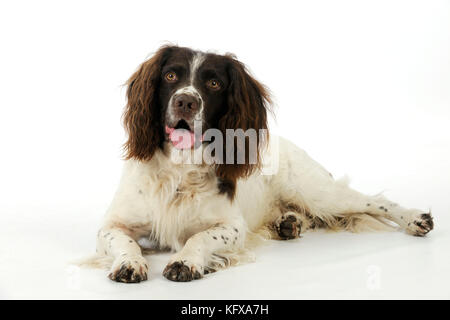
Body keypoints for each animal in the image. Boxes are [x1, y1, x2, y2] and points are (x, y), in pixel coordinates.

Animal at [90, 44, 432, 282]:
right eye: (170, 76)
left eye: (213, 84)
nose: (185, 101)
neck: (180, 169)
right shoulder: (113, 223)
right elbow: (122, 240)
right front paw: (129, 262)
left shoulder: (232, 226)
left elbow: (201, 237)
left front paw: (186, 261)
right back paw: (290, 223)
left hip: (317, 191)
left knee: (372, 201)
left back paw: (416, 218)